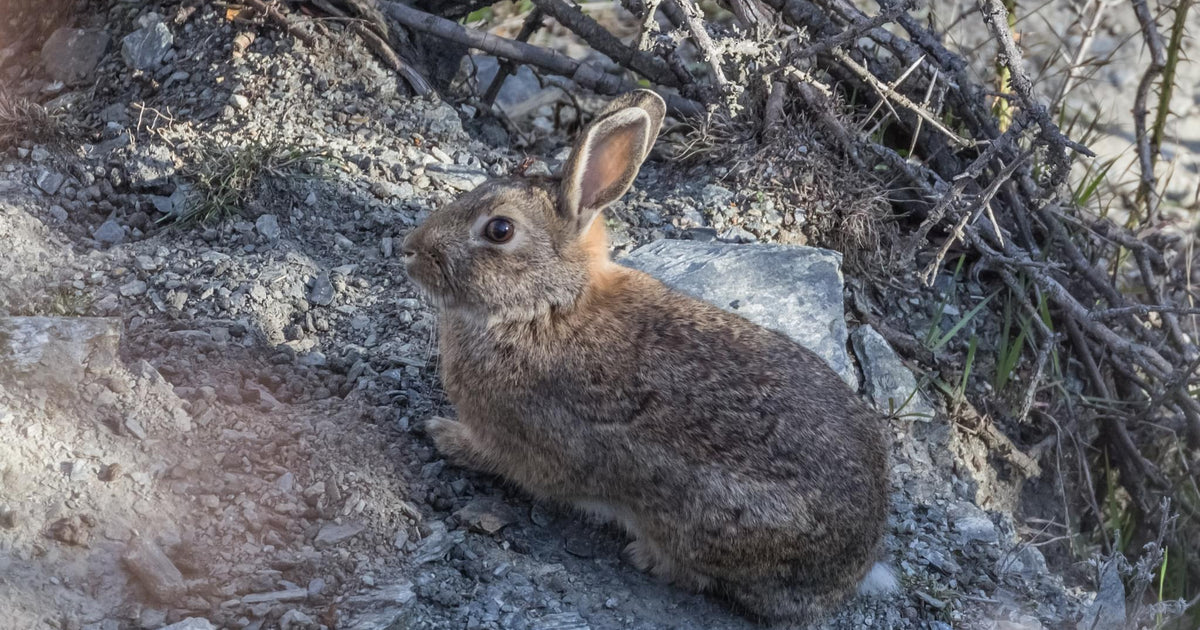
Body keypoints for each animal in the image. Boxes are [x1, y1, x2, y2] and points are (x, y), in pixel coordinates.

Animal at [401, 89, 895, 625]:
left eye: (499, 230)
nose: (410, 249)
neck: (545, 307)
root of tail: (856, 567)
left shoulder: (518, 442)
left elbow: (496, 458)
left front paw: (443, 434)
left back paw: (644, 555)